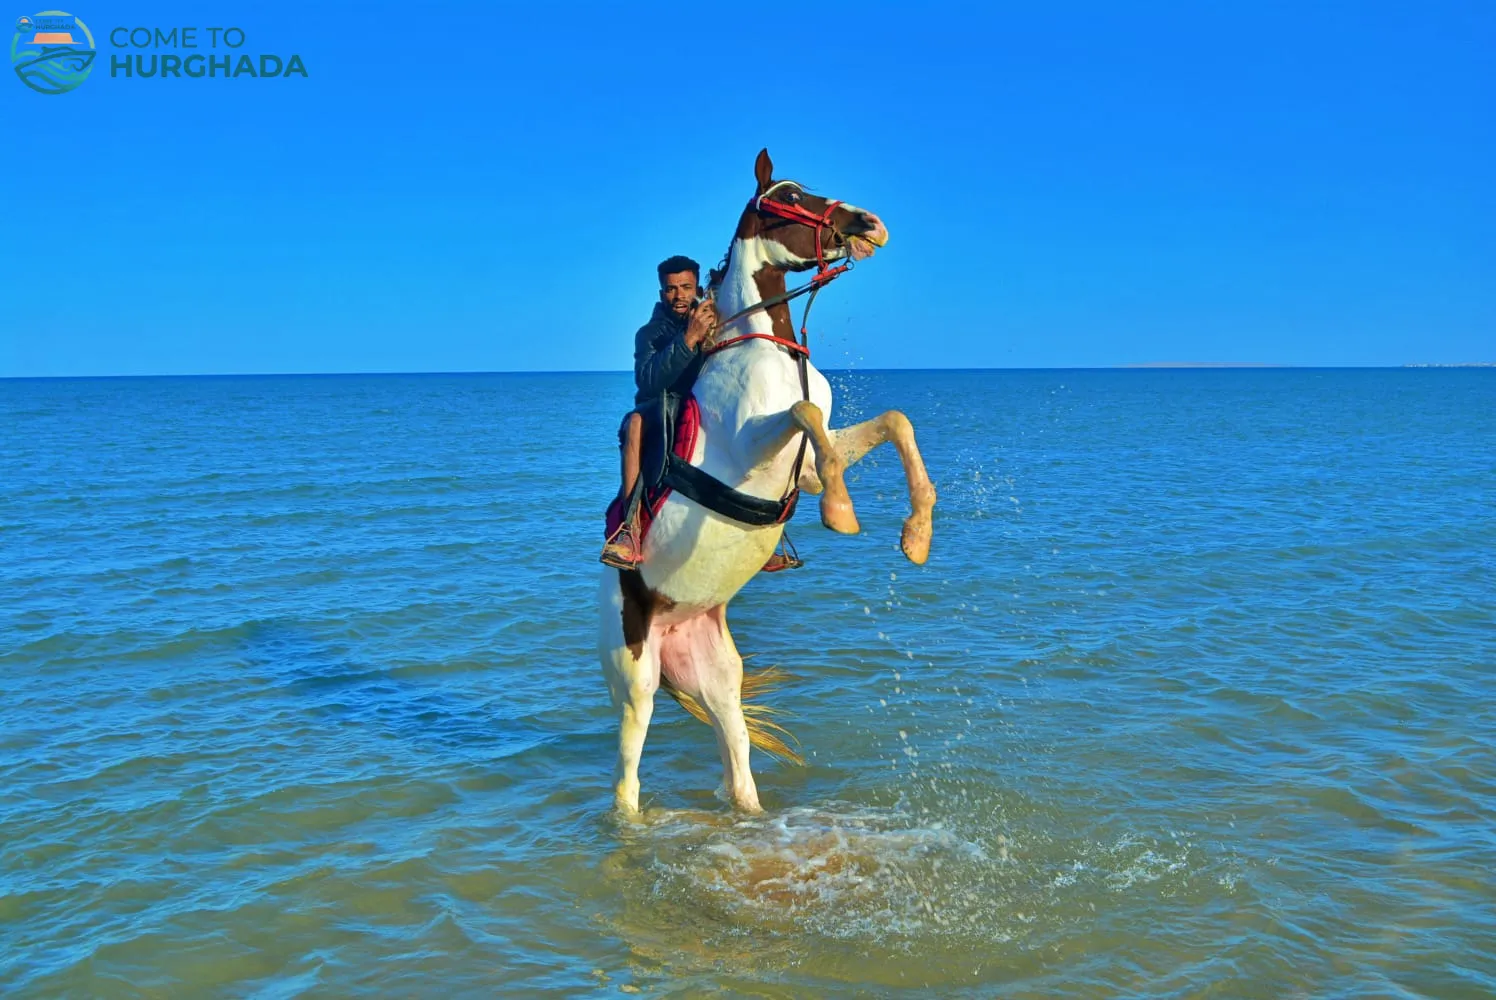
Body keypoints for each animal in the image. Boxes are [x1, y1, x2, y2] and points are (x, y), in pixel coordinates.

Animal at [599, 148, 936, 816]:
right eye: (788, 197)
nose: (871, 224)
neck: (766, 347)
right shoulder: (758, 444)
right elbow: (805, 415)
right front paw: (840, 510)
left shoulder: (799, 463)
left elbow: (890, 422)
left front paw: (917, 535)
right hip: (636, 681)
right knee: (628, 779)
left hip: (718, 680)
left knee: (738, 770)